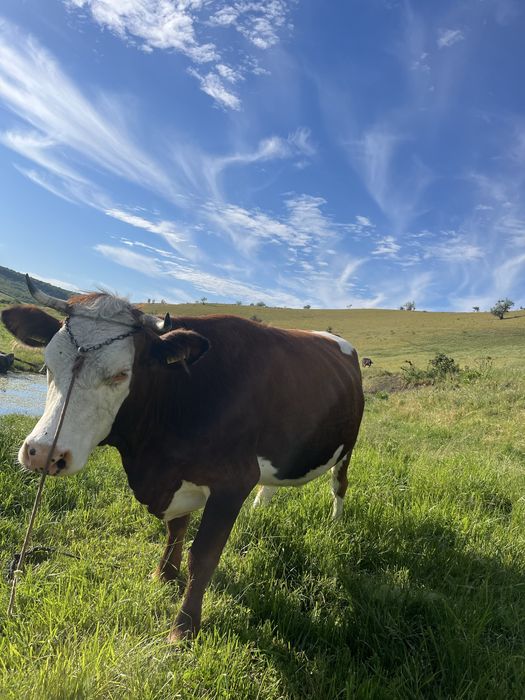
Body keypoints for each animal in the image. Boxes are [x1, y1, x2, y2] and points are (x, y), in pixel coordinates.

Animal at [1, 276, 364, 641]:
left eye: (121, 374)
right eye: (49, 363)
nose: (43, 453)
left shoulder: (232, 482)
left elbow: (203, 556)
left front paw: (184, 628)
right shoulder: (174, 474)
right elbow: (175, 529)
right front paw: (163, 575)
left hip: (347, 446)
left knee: (340, 485)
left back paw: (335, 522)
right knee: (273, 485)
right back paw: (260, 509)